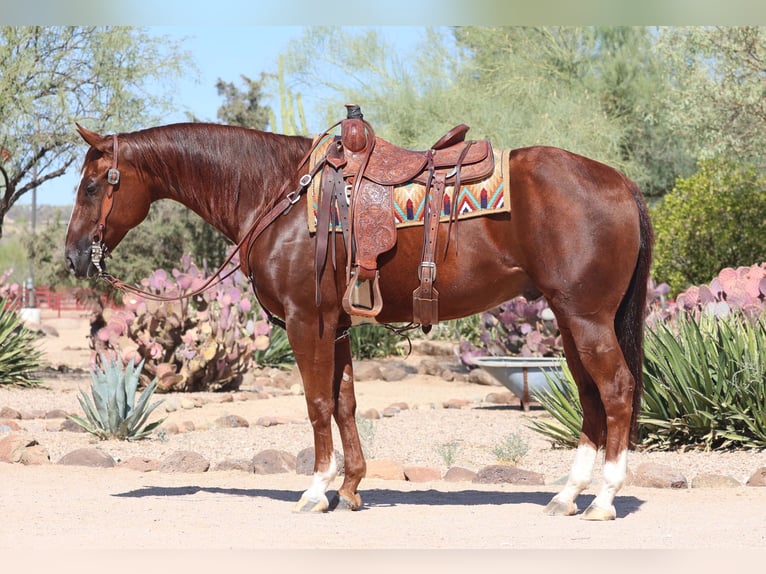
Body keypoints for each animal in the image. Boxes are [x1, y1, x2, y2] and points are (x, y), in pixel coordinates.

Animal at [64, 121, 656, 520]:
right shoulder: (339, 323)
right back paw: (566, 496)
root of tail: (621, 183)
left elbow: (317, 402)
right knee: (590, 396)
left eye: (92, 185)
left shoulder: (306, 321)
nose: (72, 257)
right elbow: (345, 401)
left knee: (617, 389)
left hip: (587, 317)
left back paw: (604, 499)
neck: (277, 193)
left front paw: (315, 490)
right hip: (570, 318)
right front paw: (350, 489)